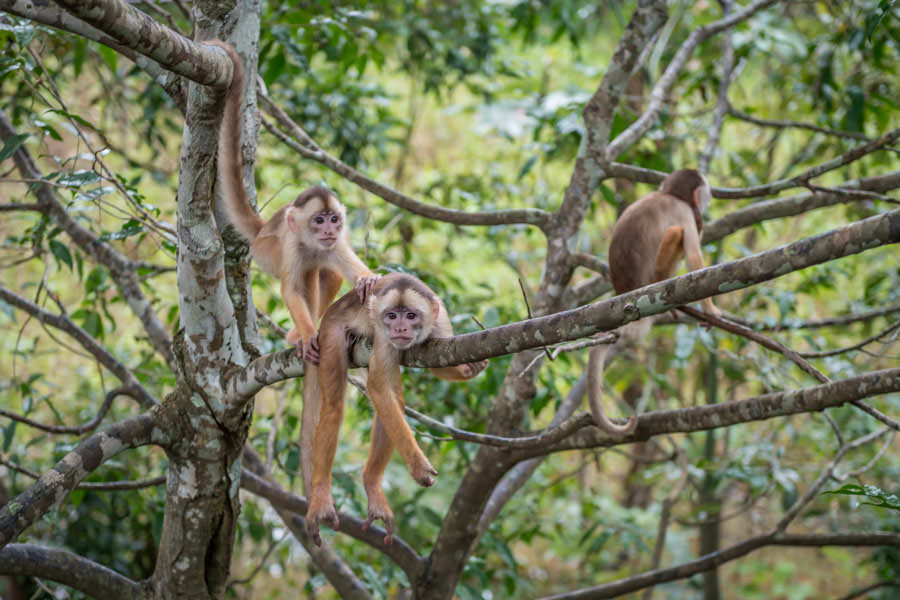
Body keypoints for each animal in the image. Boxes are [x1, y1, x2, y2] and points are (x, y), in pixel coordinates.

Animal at [210, 42, 376, 364]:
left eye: (333, 219)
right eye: (318, 220)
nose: (329, 230)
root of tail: (262, 229)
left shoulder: (337, 241)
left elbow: (354, 275)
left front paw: (366, 280)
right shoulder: (289, 246)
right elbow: (292, 290)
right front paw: (309, 334)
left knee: (330, 273)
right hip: (266, 250)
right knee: (307, 276)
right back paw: (299, 335)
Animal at [302, 274, 488, 548]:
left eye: (410, 316)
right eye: (391, 316)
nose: (400, 329)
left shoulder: (440, 317)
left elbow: (433, 368)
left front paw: (467, 369)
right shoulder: (381, 332)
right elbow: (378, 389)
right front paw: (418, 466)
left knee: (395, 403)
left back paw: (371, 482)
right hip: (331, 331)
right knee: (334, 408)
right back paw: (322, 495)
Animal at [588, 169, 720, 436]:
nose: (708, 200)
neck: (668, 194)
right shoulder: (684, 210)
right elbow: (693, 257)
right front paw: (710, 310)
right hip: (658, 272)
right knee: (676, 232)